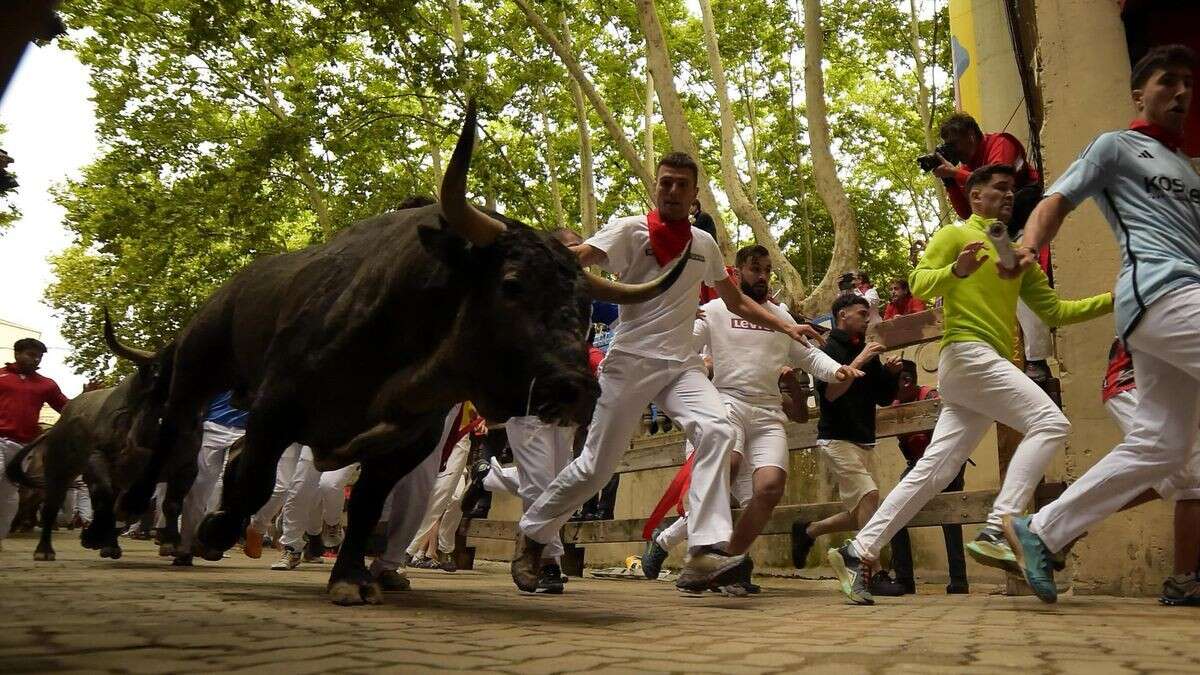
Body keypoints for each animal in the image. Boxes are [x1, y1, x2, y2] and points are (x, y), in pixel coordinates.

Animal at [115, 103, 691, 605]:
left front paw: (351, 577)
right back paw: (139, 517)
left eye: (584, 307)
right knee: (177, 437)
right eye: (512, 284)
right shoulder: (276, 408)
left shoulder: (407, 442)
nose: (576, 388)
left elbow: (368, 506)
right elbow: (256, 477)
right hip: (198, 366)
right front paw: (217, 532)